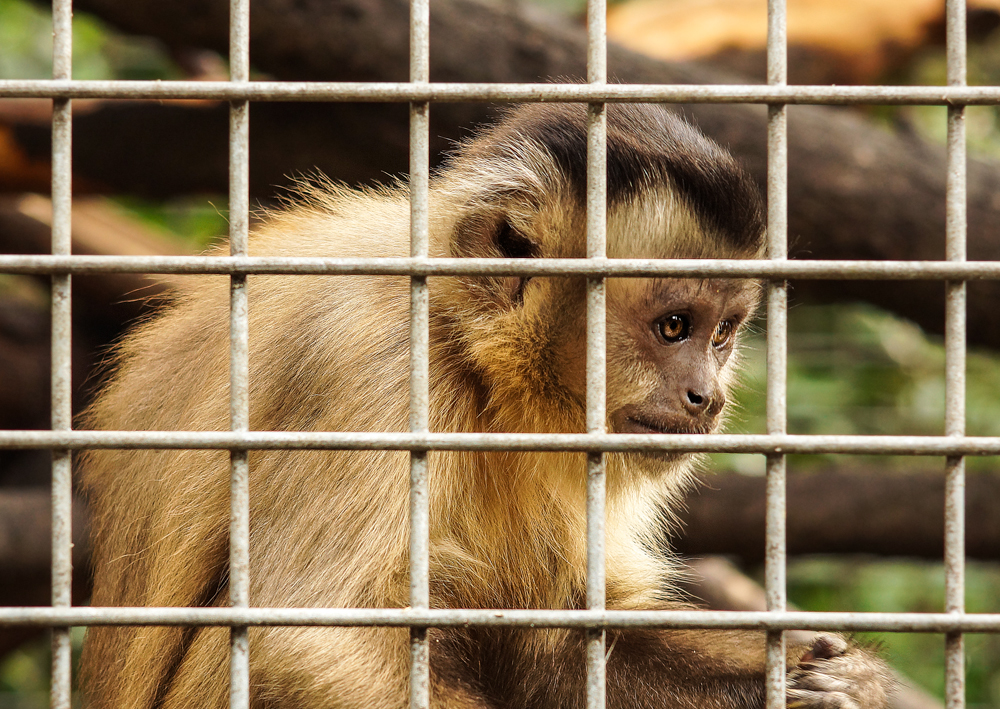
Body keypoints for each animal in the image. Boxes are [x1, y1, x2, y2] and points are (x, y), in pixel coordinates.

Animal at [78, 103, 892, 708]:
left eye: (722, 334)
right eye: (673, 326)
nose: (708, 396)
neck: (466, 351)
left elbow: (563, 645)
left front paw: (832, 682)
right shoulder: (376, 360)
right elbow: (309, 644)